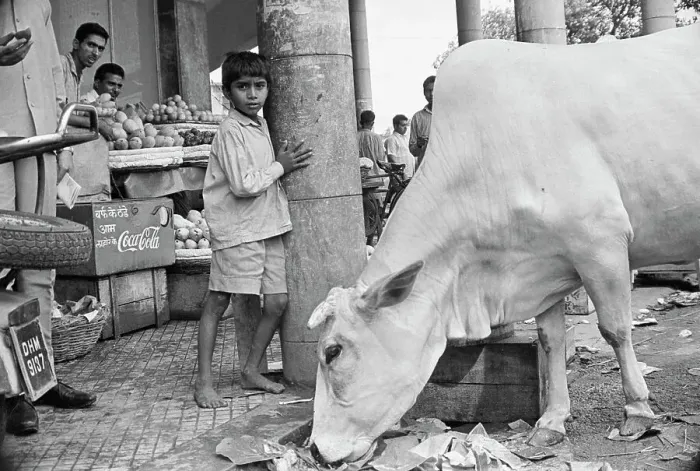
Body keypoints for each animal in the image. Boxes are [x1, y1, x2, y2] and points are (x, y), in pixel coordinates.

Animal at [306, 24, 700, 464]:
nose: (317, 450)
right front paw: (551, 423)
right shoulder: (546, 263)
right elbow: (551, 341)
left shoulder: (602, 243)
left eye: (333, 352)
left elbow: (615, 329)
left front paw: (637, 411)